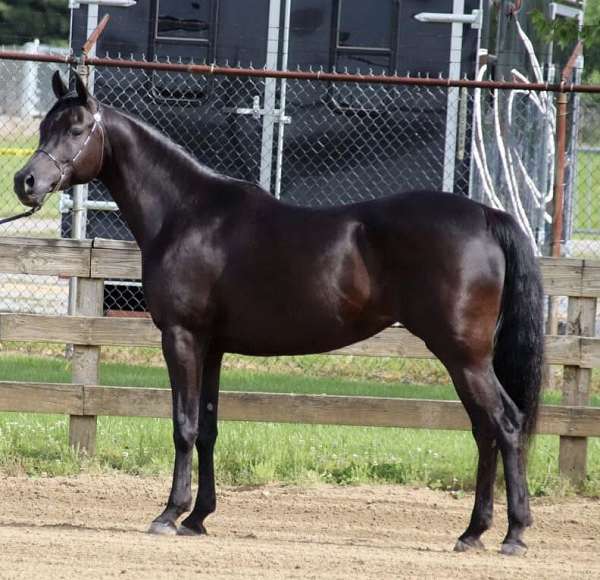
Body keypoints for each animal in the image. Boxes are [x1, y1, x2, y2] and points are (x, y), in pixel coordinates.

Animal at [15, 72, 544, 556]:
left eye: (78, 129)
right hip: (464, 359)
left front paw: (169, 514)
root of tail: (486, 216)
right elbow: (207, 429)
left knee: (505, 424)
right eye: (44, 126)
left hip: (464, 356)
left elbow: (183, 425)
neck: (186, 213)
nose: (26, 182)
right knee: (485, 430)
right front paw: (199, 517)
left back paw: (513, 535)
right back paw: (473, 532)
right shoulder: (212, 347)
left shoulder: (181, 338)